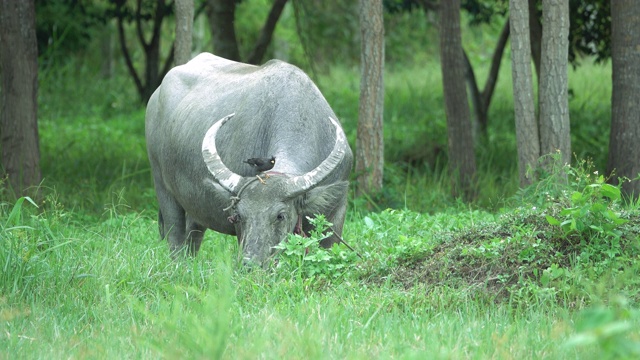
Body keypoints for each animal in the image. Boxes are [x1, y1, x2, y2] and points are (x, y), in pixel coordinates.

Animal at [146, 52, 356, 264]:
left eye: (280, 216)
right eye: (239, 215)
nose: (251, 263)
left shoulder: (336, 214)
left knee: (193, 235)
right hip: (162, 187)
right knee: (175, 237)